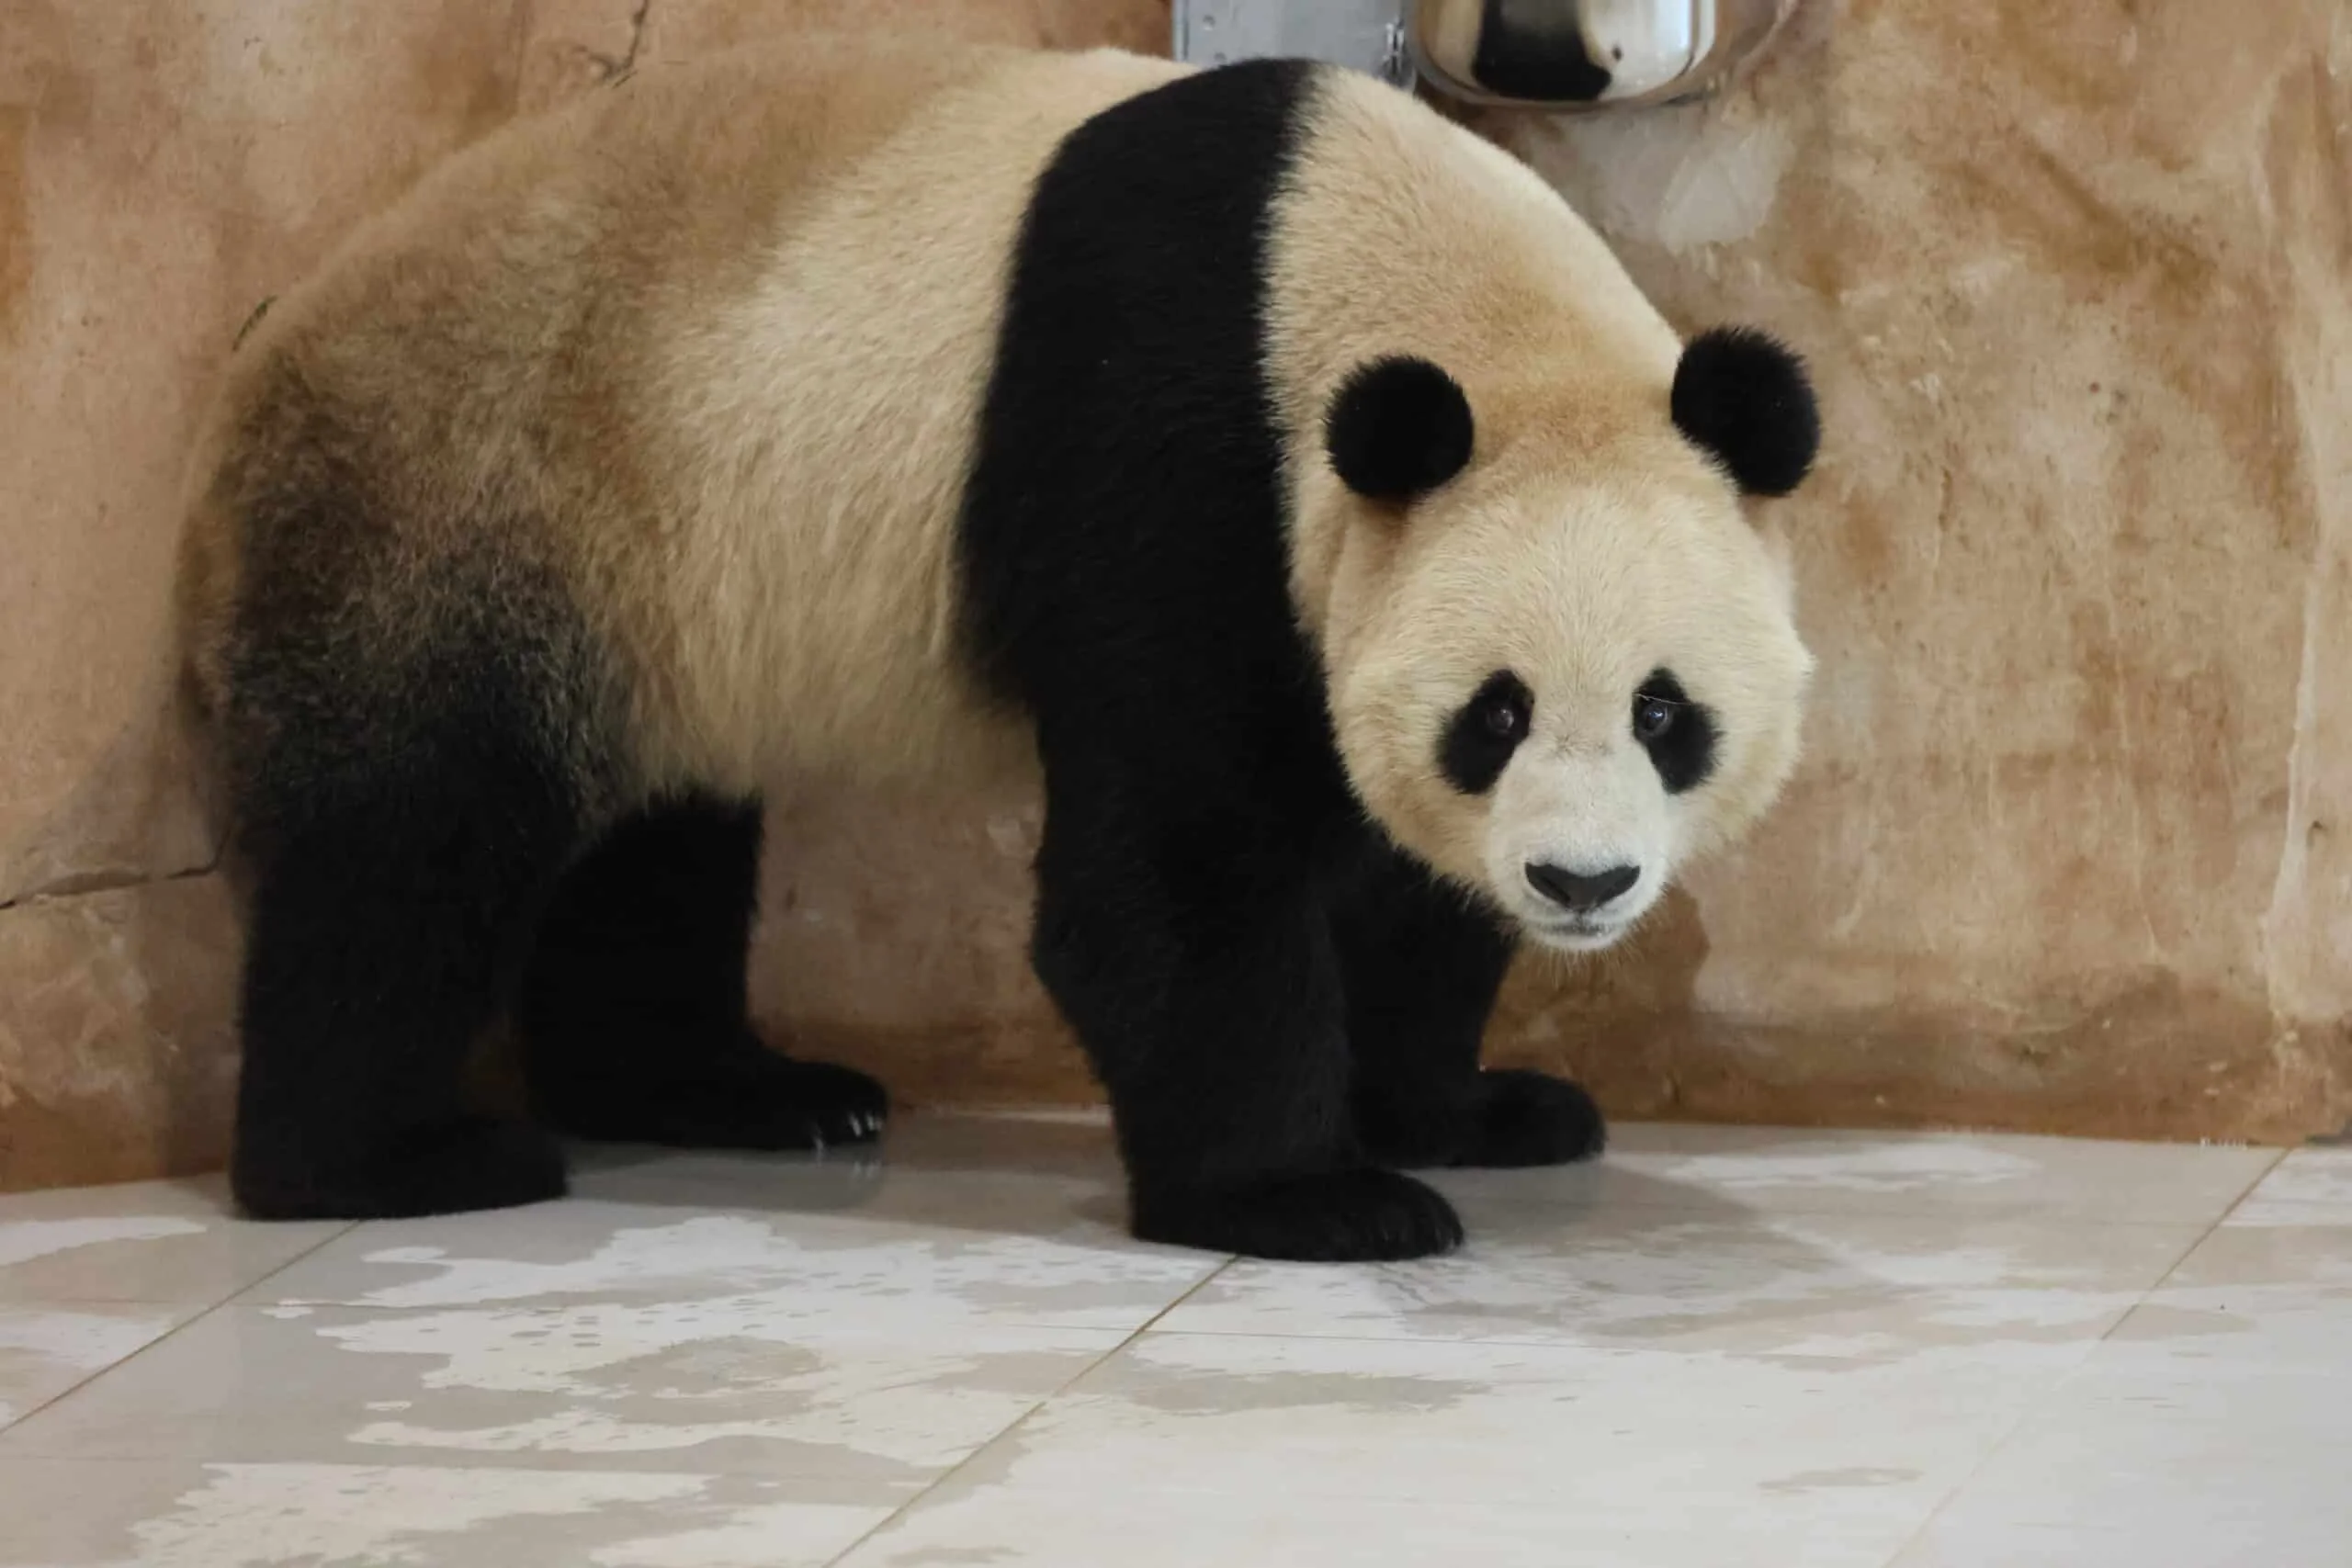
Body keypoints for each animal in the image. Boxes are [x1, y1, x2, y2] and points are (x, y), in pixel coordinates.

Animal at [175, 35, 1819, 1263]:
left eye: (1665, 713)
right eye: (1496, 713)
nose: (1583, 883)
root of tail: (259, 365)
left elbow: (1402, 883)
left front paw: (1466, 1110)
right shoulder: (1172, 453)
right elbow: (1170, 868)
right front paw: (1309, 1194)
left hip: (647, 599)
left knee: (650, 845)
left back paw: (739, 1093)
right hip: (473, 499)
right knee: (410, 846)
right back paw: (394, 1157)